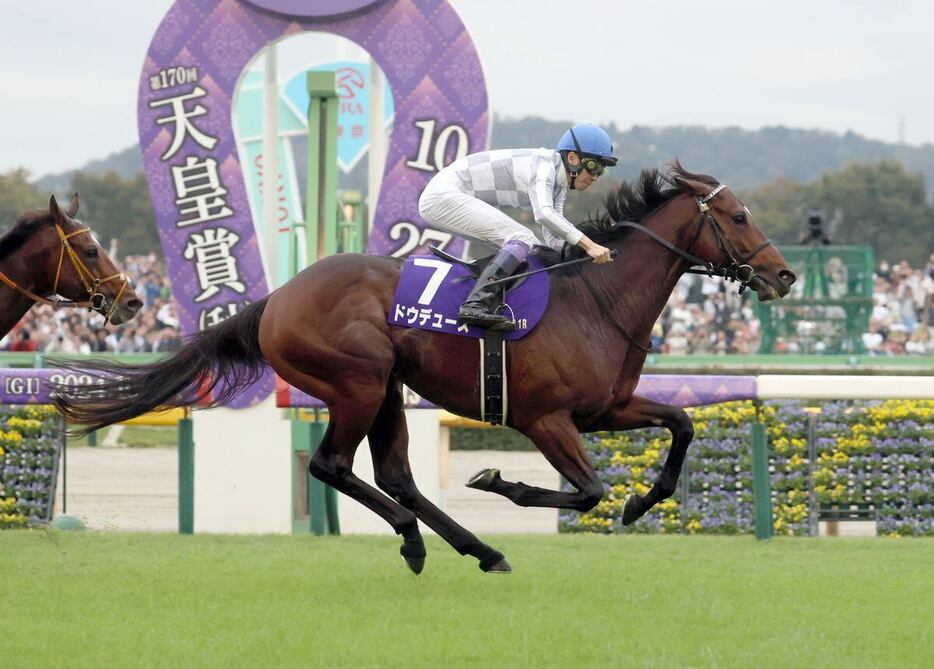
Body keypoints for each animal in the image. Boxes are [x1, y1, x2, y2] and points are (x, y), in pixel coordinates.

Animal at [51, 164, 796, 572]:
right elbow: (585, 491)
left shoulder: (604, 409)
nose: (785, 275)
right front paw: (504, 483)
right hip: (356, 380)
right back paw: (416, 541)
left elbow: (681, 425)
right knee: (332, 465)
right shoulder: (546, 418)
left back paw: (478, 550)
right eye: (737, 216)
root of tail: (277, 298)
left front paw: (644, 500)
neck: (596, 299)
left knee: (397, 477)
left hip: (385, 388)